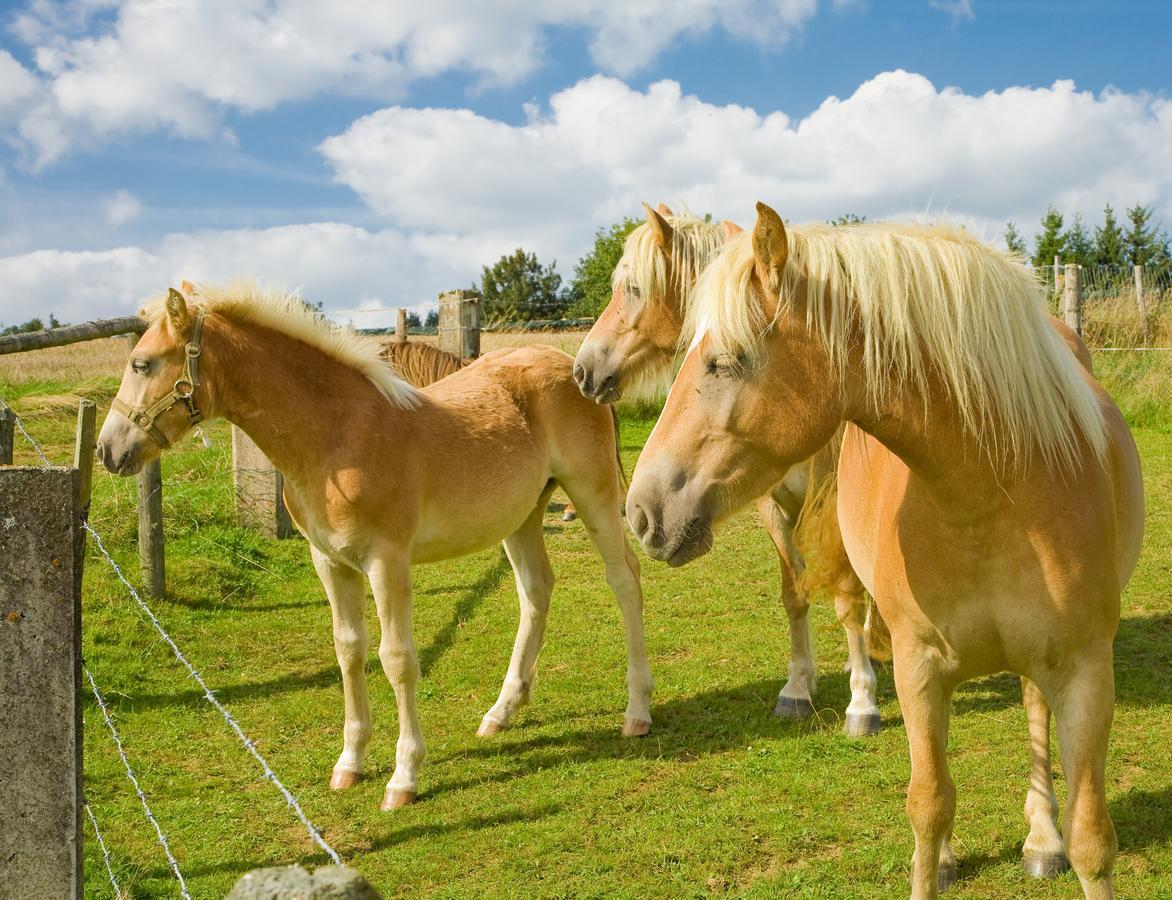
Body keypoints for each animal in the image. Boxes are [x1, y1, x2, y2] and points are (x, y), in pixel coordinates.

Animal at [96, 281, 656, 806]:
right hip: (521, 516)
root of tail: (574, 368)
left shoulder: (387, 563)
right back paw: (501, 712)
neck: (335, 438)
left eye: (142, 363)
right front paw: (350, 763)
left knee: (624, 579)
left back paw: (637, 711)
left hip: (593, 493)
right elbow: (349, 650)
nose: (107, 450)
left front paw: (403, 776)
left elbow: (396, 658)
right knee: (536, 591)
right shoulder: (331, 562)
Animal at [571, 201, 881, 731]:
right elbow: (794, 592)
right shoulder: (773, 506)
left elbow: (844, 593)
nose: (582, 370)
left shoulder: (830, 498)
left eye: (633, 289)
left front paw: (862, 700)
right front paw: (798, 687)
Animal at [628, 207, 1139, 895]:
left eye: (727, 361)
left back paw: (1041, 838)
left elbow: (1091, 840)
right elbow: (928, 805)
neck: (991, 495)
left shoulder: (1086, 672)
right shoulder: (920, 666)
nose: (641, 510)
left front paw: (1057, 839)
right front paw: (937, 856)